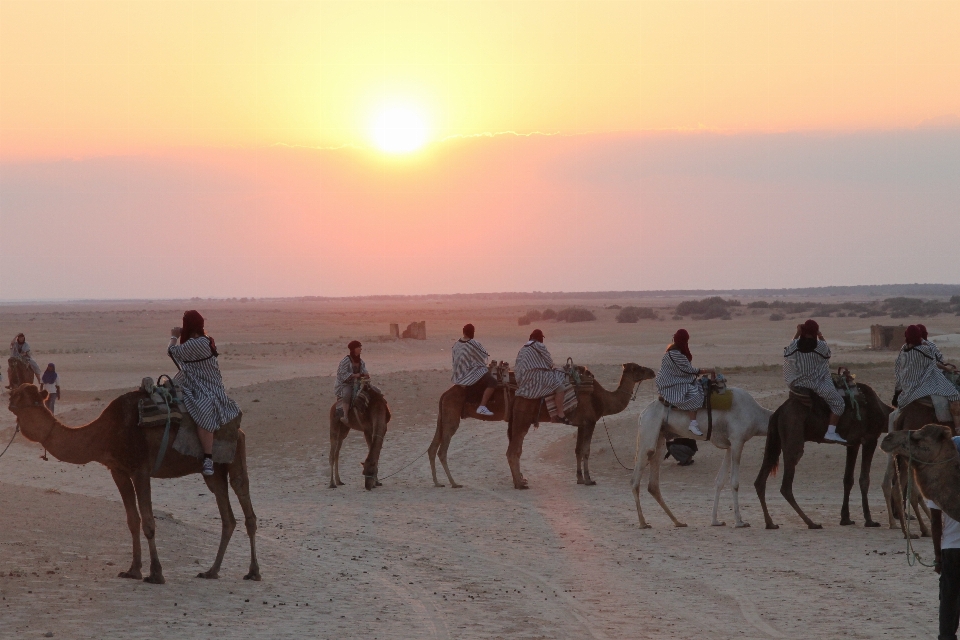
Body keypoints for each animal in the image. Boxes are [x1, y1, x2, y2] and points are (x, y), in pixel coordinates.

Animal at [5, 384, 260, 584]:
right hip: (213, 472)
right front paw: (133, 570)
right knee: (227, 516)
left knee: (244, 500)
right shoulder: (118, 471)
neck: (104, 434)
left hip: (234, 454)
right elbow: (132, 520)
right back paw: (211, 571)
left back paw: (253, 572)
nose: (7, 401)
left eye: (20, 396)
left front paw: (156, 574)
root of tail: (238, 427)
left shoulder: (140, 471)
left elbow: (148, 521)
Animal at [506, 364, 656, 490]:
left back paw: (519, 481)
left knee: (515, 449)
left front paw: (580, 478)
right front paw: (589, 480)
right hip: (522, 420)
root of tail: (517, 396)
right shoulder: (590, 422)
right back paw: (520, 484)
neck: (603, 399)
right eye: (638, 368)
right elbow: (586, 451)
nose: (652, 372)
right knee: (512, 451)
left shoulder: (581, 424)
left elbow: (578, 450)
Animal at [632, 390, 772, 528]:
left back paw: (678, 522)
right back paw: (643, 523)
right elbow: (734, 482)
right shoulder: (738, 440)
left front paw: (716, 521)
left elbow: (719, 481)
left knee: (653, 483)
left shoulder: (730, 445)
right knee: (637, 477)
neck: (756, 415)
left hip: (661, 436)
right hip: (649, 432)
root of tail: (643, 413)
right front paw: (739, 521)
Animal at [752, 384, 896, 528]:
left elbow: (848, 479)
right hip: (792, 433)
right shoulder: (870, 438)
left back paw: (770, 523)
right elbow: (864, 479)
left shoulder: (852, 443)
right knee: (786, 485)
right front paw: (870, 520)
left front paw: (845, 519)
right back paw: (811, 523)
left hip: (774, 438)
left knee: (761, 479)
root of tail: (779, 411)